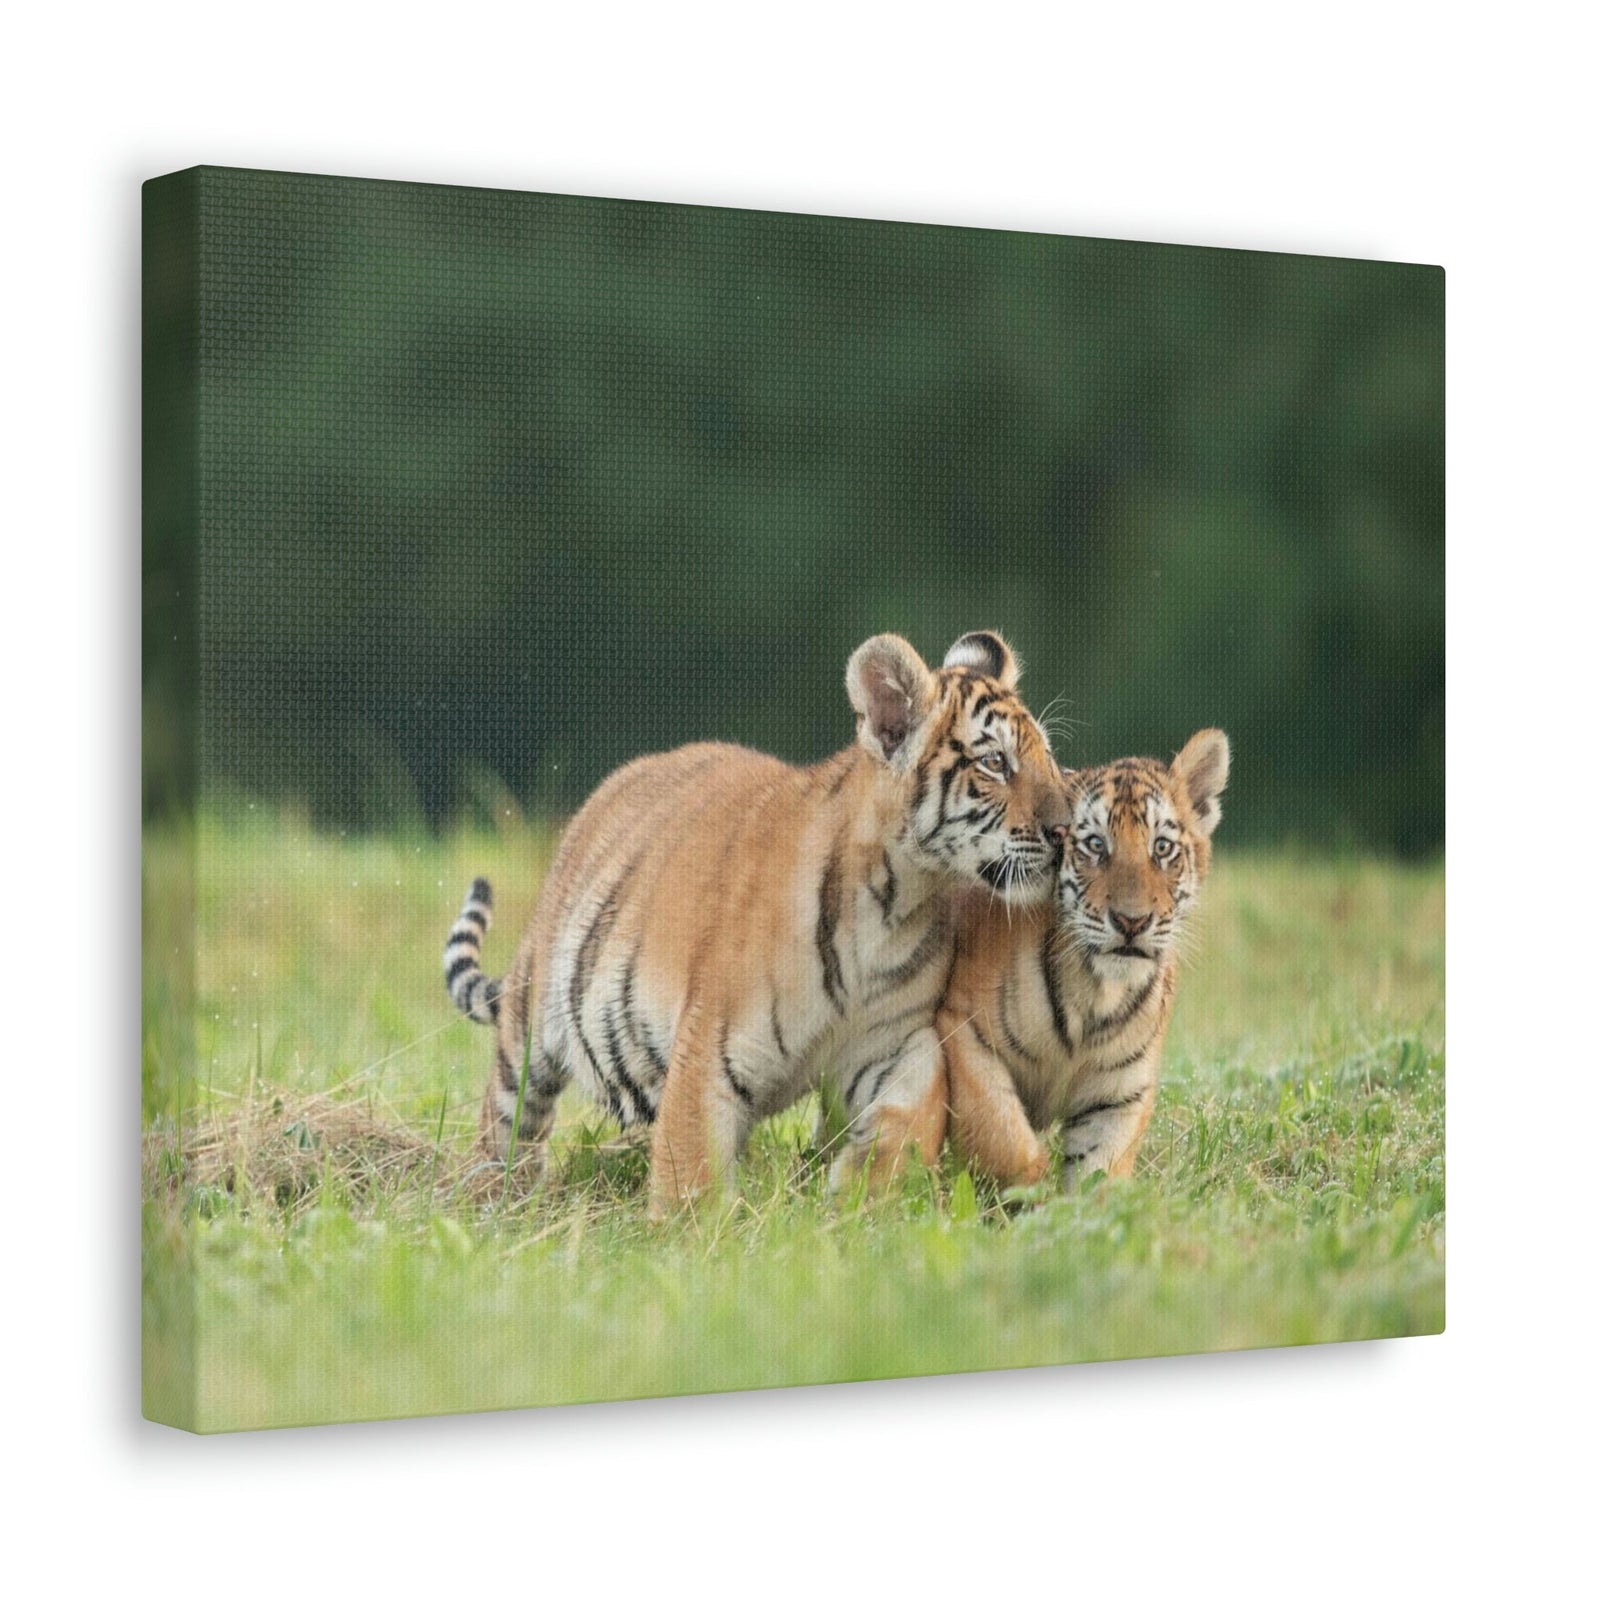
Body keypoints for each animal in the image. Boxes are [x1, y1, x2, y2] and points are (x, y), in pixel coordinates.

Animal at [442, 630, 1068, 1216]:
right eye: (995, 763)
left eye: (1048, 756)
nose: (1066, 832)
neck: (896, 903)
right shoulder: (707, 1053)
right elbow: (691, 1175)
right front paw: (692, 1238)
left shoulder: (897, 1039)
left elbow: (913, 1115)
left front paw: (864, 1196)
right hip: (529, 1036)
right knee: (507, 1126)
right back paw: (492, 1202)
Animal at [934, 729, 1230, 1190]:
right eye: (1095, 845)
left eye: (1162, 847)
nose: (1131, 921)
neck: (1096, 991)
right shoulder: (966, 1032)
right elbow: (1002, 1138)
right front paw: (1031, 1189)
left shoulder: (1120, 1093)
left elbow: (1099, 1174)